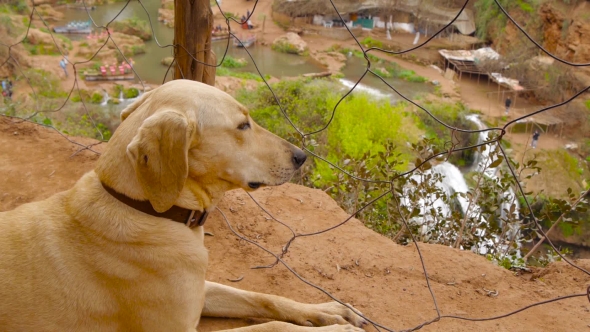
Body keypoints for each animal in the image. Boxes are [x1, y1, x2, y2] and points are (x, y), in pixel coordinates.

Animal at [0, 79, 368, 330]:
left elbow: (263, 298)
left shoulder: (199, 290)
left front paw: (327, 311)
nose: (301, 157)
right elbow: (271, 327)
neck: (145, 209)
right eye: (242, 125)